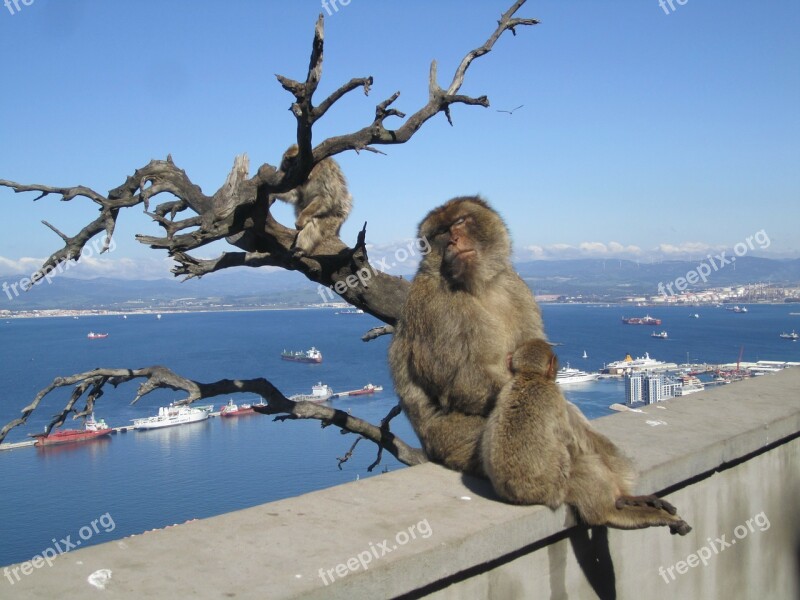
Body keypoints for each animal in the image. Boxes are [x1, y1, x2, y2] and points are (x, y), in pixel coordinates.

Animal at [388, 198, 544, 478]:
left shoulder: (516, 287)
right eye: (441, 232)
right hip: (452, 440)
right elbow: (459, 381)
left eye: (459, 222)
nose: (453, 240)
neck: (479, 285)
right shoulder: (435, 307)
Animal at [484, 340, 692, 536]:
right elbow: (570, 440)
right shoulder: (556, 397)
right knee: (586, 462)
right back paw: (619, 507)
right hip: (559, 486)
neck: (529, 376)